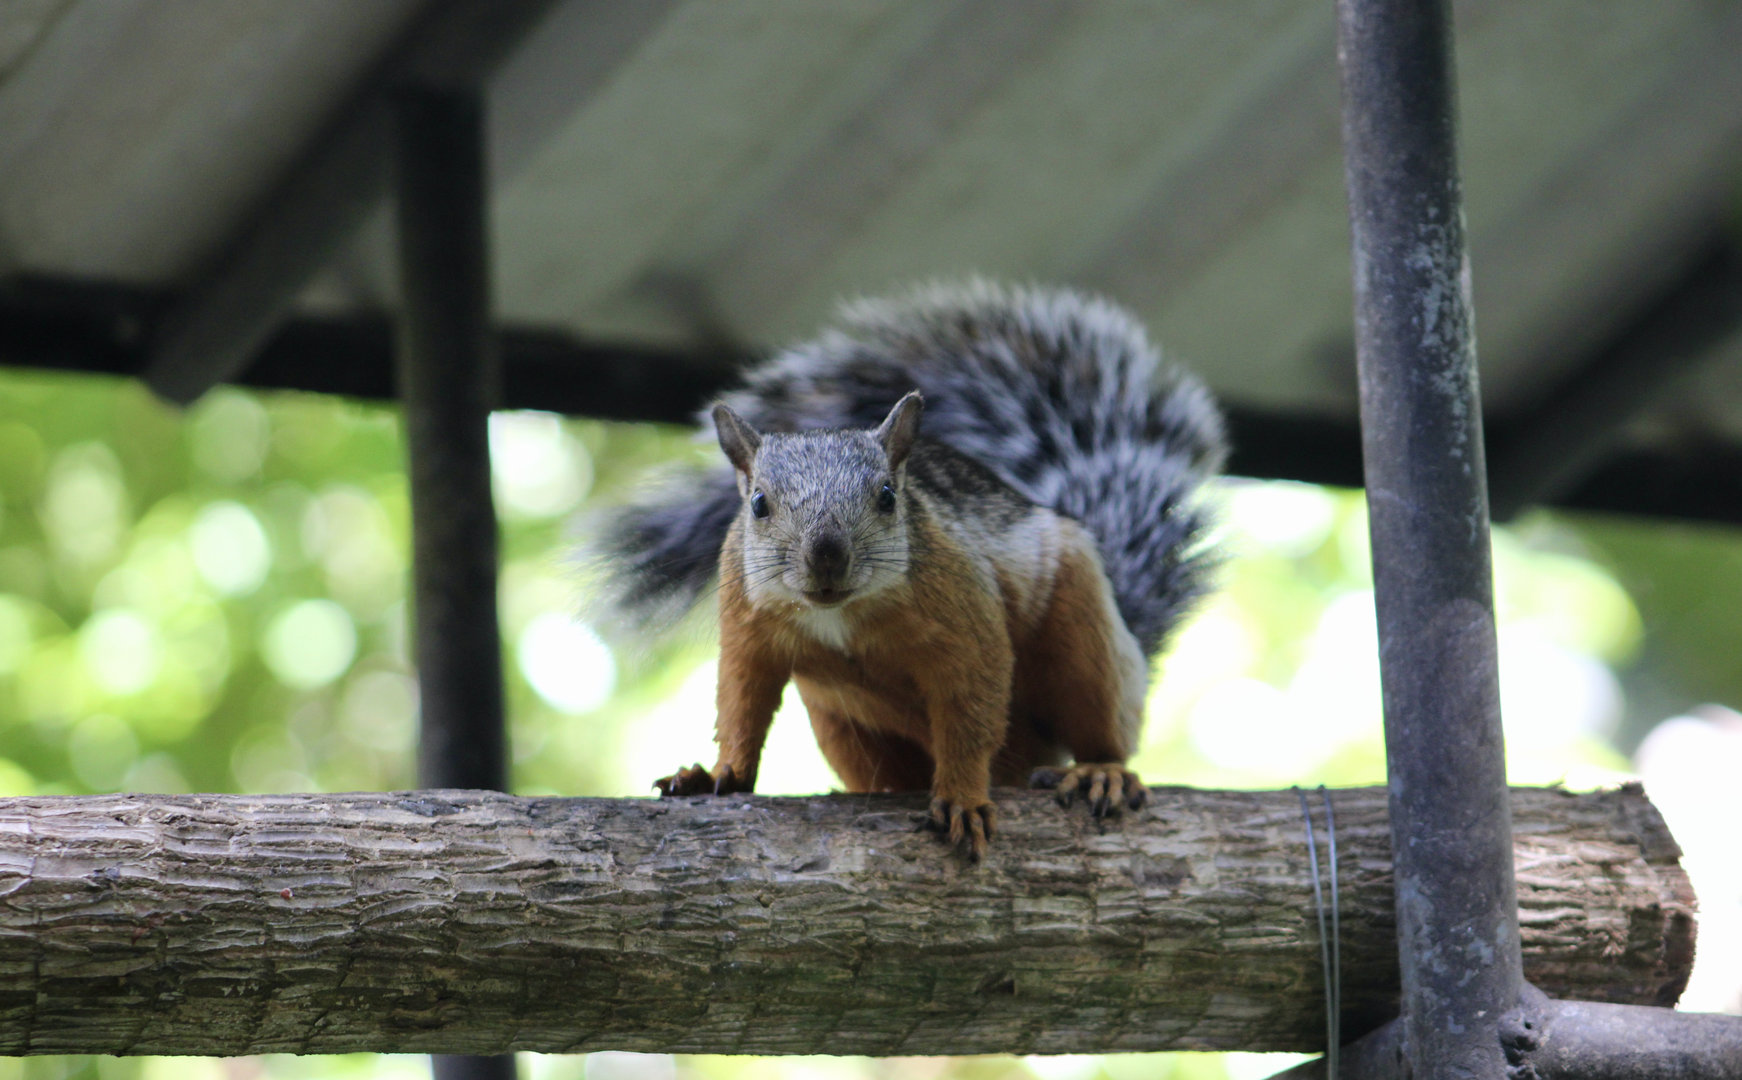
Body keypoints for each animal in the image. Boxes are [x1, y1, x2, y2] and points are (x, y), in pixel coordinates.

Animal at [596, 282, 1226, 858]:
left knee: (1102, 723)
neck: (841, 615)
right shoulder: (749, 625)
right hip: (839, 721)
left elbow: (970, 711)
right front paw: (718, 773)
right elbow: (740, 701)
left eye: (887, 496)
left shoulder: (968, 619)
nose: (827, 557)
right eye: (758, 504)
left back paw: (1100, 771)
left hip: (1080, 626)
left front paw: (964, 798)